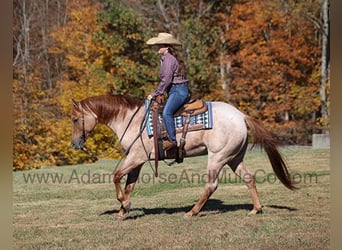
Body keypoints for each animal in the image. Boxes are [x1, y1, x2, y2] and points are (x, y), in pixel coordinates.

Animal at [71, 94, 296, 219]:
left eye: (74, 119)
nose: (74, 144)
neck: (130, 120)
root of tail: (241, 116)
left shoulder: (136, 158)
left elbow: (116, 176)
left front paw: (125, 205)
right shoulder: (137, 162)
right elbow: (129, 186)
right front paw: (122, 210)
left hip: (217, 157)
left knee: (211, 185)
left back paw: (192, 212)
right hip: (234, 157)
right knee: (248, 178)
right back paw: (256, 209)